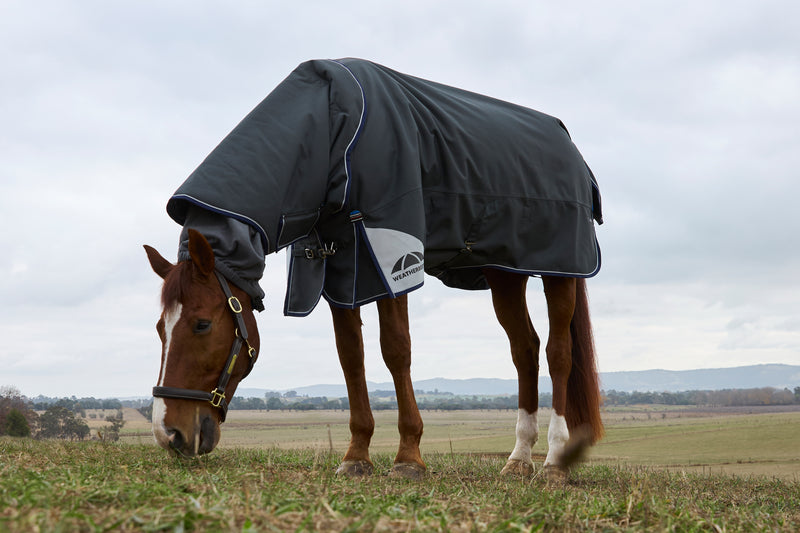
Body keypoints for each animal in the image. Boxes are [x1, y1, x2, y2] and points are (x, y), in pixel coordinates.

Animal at [144, 58, 604, 479]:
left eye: (202, 324)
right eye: (160, 328)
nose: (169, 435)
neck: (333, 134)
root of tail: (570, 149)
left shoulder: (391, 260)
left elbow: (396, 350)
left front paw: (408, 457)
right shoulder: (339, 267)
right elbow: (351, 357)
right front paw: (356, 456)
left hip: (561, 270)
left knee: (558, 352)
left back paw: (554, 461)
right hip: (504, 272)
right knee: (525, 350)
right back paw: (518, 458)